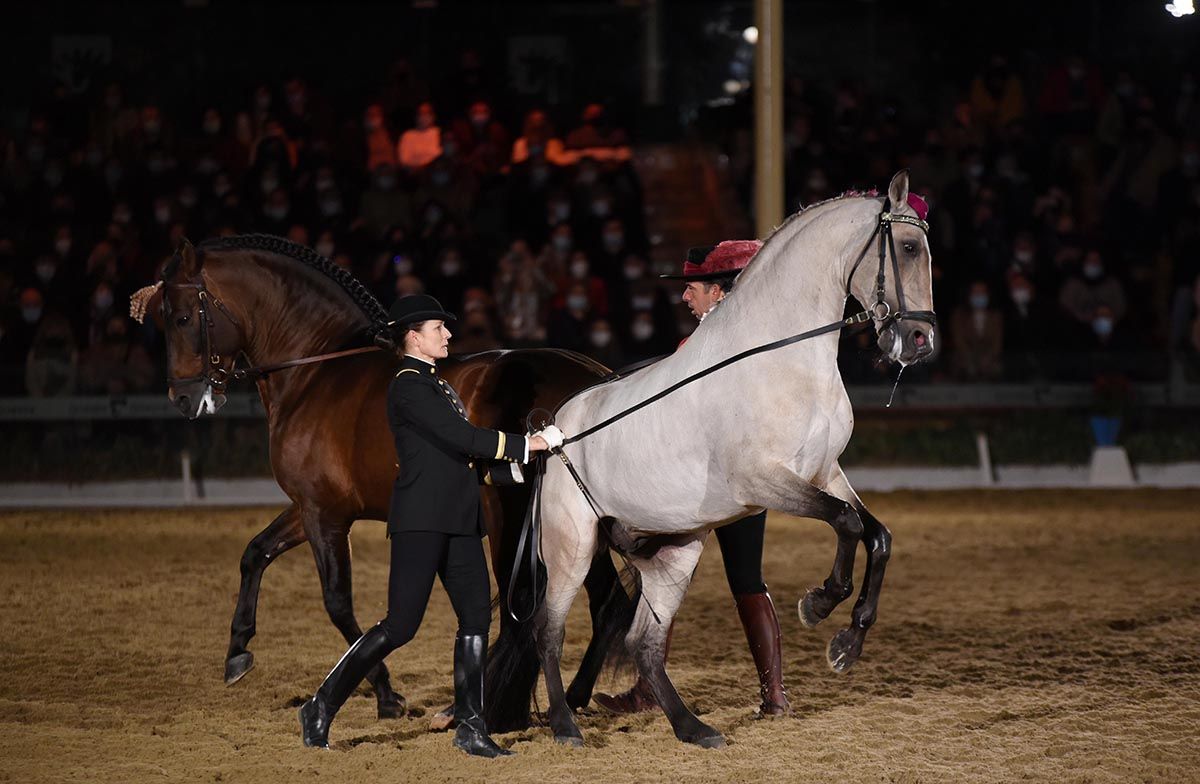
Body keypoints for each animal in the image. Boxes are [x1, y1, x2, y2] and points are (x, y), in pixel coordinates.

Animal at [140, 234, 628, 729]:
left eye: (182, 317)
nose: (184, 398)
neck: (316, 373)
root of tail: (598, 378)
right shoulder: (309, 507)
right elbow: (255, 553)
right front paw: (238, 652)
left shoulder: (324, 514)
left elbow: (338, 603)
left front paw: (385, 692)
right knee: (606, 604)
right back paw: (574, 695)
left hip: (516, 524)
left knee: (534, 612)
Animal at [528, 171, 936, 744]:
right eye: (907, 247)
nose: (919, 340)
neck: (781, 359)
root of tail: (553, 432)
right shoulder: (763, 481)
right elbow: (848, 523)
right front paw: (819, 603)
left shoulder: (823, 471)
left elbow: (877, 536)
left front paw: (846, 644)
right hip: (573, 547)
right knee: (549, 629)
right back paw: (566, 725)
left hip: (676, 552)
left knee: (644, 644)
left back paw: (693, 728)